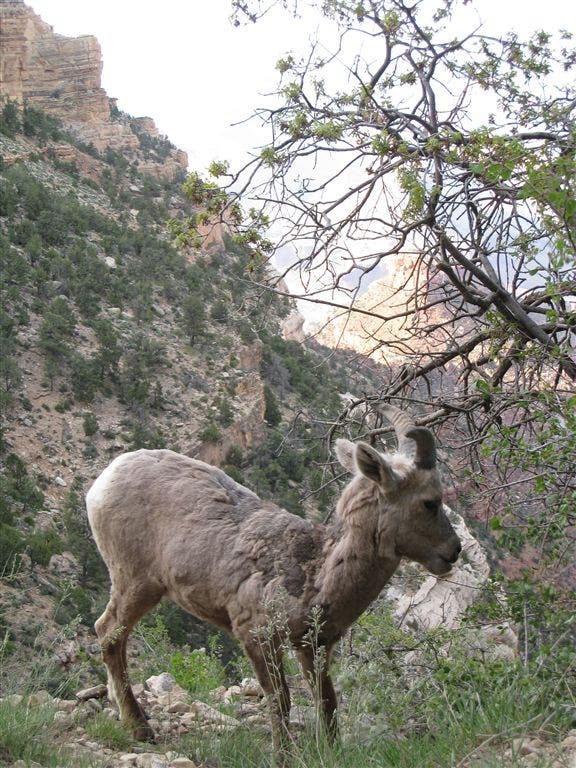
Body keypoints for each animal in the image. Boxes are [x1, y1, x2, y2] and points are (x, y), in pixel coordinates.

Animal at [86, 406, 461, 754]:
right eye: (430, 501)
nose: (453, 551)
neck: (317, 577)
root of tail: (103, 481)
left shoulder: (313, 644)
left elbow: (327, 700)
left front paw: (331, 750)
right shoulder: (256, 634)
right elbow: (281, 700)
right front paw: (284, 755)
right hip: (135, 579)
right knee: (109, 631)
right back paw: (140, 729)